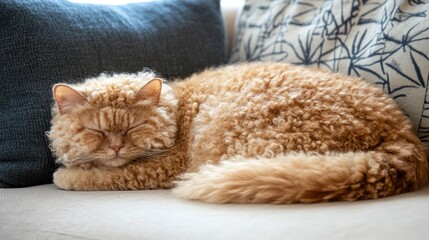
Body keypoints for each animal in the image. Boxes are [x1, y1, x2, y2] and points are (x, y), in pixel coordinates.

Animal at [48, 61, 426, 202]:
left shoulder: (161, 167)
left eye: (134, 127)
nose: (115, 147)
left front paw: (66, 175)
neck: (177, 109)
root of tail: (403, 136)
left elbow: (102, 177)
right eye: (94, 131)